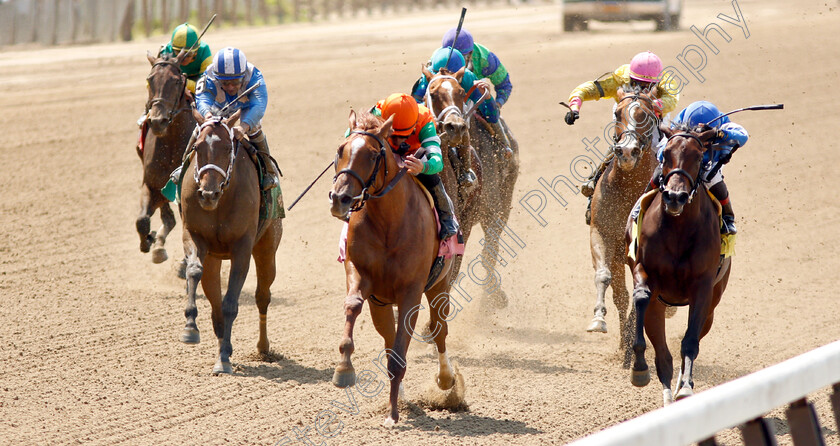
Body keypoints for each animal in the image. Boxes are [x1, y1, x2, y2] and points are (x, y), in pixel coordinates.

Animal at [137, 51, 194, 264]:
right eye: (149, 79)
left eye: (177, 81)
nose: (158, 121)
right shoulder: (151, 185)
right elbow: (142, 220)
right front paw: (148, 240)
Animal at [179, 110, 284, 374]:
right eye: (197, 147)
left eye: (228, 148)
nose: (208, 194)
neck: (222, 201)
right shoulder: (193, 235)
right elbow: (194, 271)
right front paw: (190, 328)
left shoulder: (242, 248)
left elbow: (230, 303)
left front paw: (225, 357)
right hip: (214, 260)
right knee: (214, 303)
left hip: (267, 248)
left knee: (262, 296)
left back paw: (263, 348)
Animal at [330, 110, 460, 426]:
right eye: (341, 150)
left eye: (372, 154)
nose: (340, 199)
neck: (388, 221)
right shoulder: (359, 273)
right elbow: (353, 304)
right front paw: (344, 369)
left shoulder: (411, 291)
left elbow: (403, 350)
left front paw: (392, 414)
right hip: (380, 303)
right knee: (389, 338)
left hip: (440, 287)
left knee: (439, 330)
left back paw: (446, 379)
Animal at [588, 84, 660, 366]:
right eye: (618, 113)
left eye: (646, 115)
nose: (627, 151)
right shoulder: (601, 234)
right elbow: (603, 276)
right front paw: (598, 319)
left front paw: (632, 346)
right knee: (620, 296)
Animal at [628, 124, 732, 404]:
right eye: (666, 155)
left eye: (698, 156)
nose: (675, 197)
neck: (678, 229)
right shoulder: (645, 271)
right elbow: (641, 296)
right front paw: (638, 367)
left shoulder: (703, 287)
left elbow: (690, 341)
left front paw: (685, 386)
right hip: (658, 307)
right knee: (663, 355)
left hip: (712, 305)